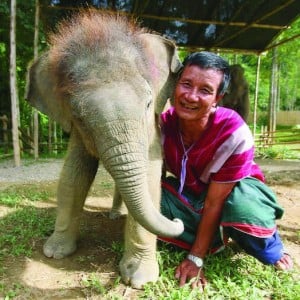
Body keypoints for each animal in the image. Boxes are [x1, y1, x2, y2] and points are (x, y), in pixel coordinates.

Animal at [25, 10, 183, 290]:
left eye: (148, 103)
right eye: (79, 116)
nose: (176, 222)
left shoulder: (152, 125)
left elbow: (149, 176)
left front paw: (140, 280)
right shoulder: (78, 131)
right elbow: (74, 173)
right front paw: (55, 252)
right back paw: (114, 215)